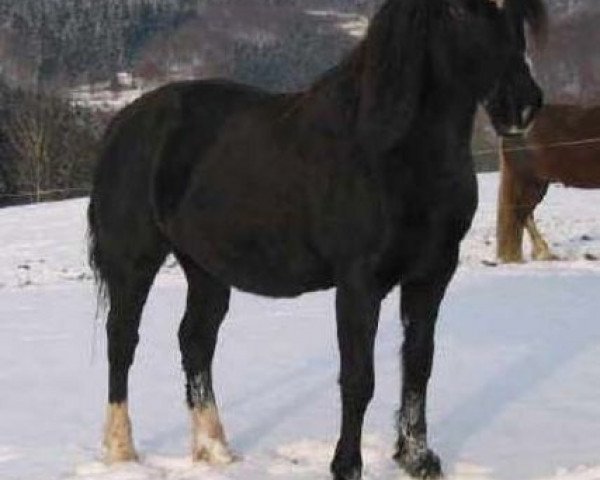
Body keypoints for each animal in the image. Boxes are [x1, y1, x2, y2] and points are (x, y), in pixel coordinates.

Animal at [88, 0, 544, 480]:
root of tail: (125, 123)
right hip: (134, 263)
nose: (521, 105)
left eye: (519, 11)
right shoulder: (359, 284)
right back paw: (121, 449)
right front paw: (347, 465)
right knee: (122, 340)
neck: (389, 152)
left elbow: (418, 367)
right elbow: (359, 377)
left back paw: (215, 449)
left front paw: (418, 459)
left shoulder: (431, 276)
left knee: (195, 341)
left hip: (206, 268)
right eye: (457, 12)